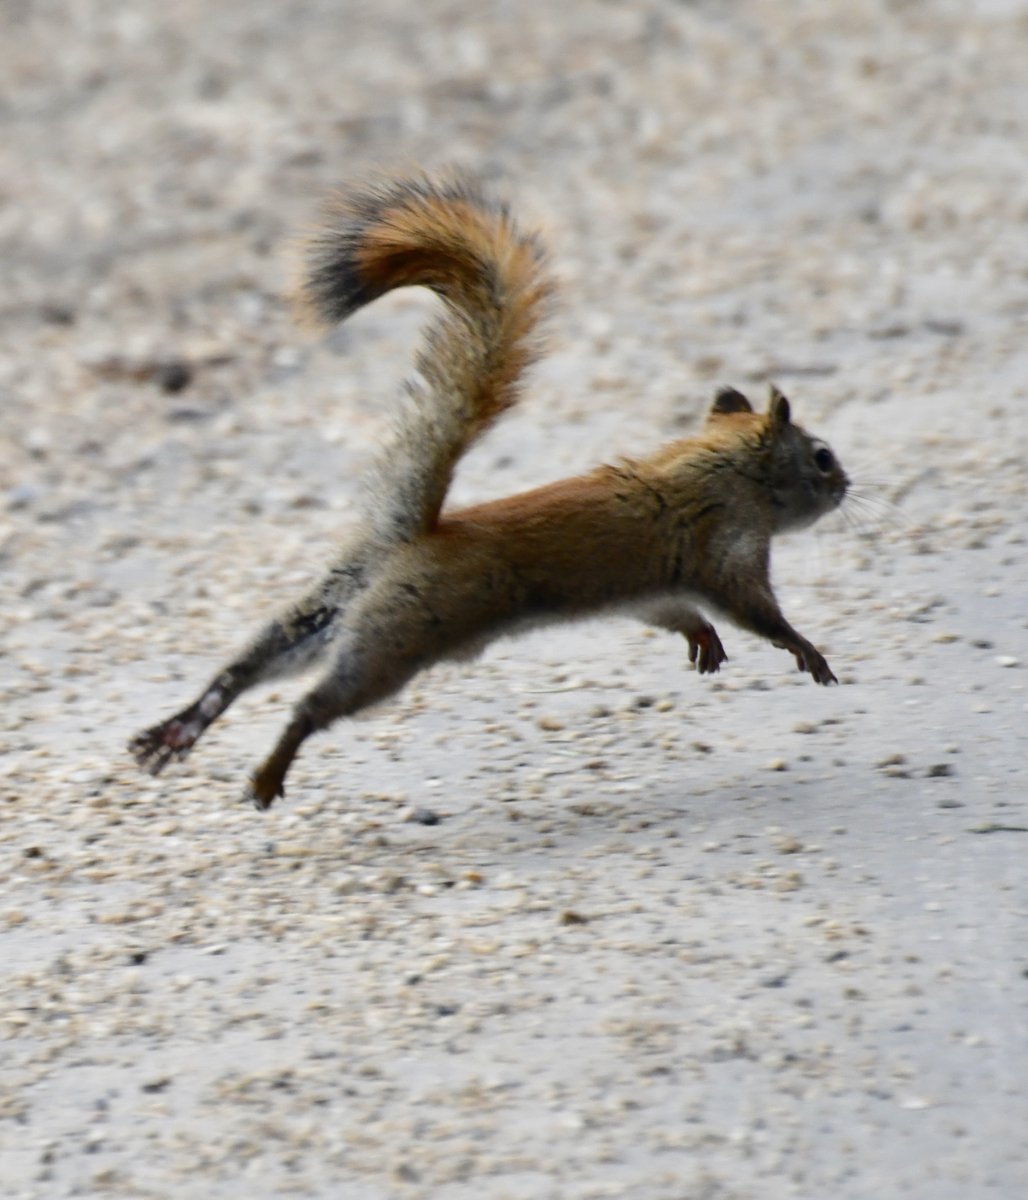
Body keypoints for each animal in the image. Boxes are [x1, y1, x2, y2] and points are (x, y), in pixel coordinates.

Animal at [130, 171, 849, 806]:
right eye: (821, 457)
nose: (847, 485)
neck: (723, 471)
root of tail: (411, 535)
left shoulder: (657, 586)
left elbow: (673, 611)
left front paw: (702, 639)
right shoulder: (726, 550)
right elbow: (758, 613)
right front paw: (807, 652)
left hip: (337, 605)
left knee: (251, 662)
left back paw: (182, 726)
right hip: (401, 634)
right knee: (313, 703)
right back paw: (268, 772)